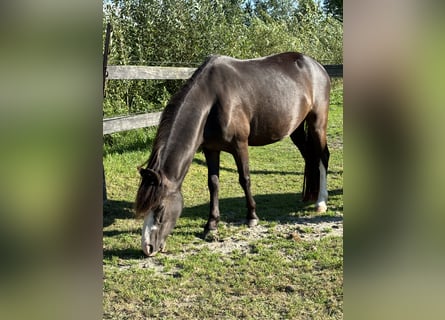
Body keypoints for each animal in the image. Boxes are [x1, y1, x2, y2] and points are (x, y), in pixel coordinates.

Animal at [135, 52, 330, 258]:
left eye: (160, 208)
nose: (147, 247)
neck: (212, 101)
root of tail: (315, 65)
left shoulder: (240, 145)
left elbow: (244, 179)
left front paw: (252, 217)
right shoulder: (211, 149)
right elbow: (213, 184)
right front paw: (211, 225)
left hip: (318, 123)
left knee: (323, 157)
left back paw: (321, 202)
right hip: (297, 129)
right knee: (310, 157)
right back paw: (309, 197)